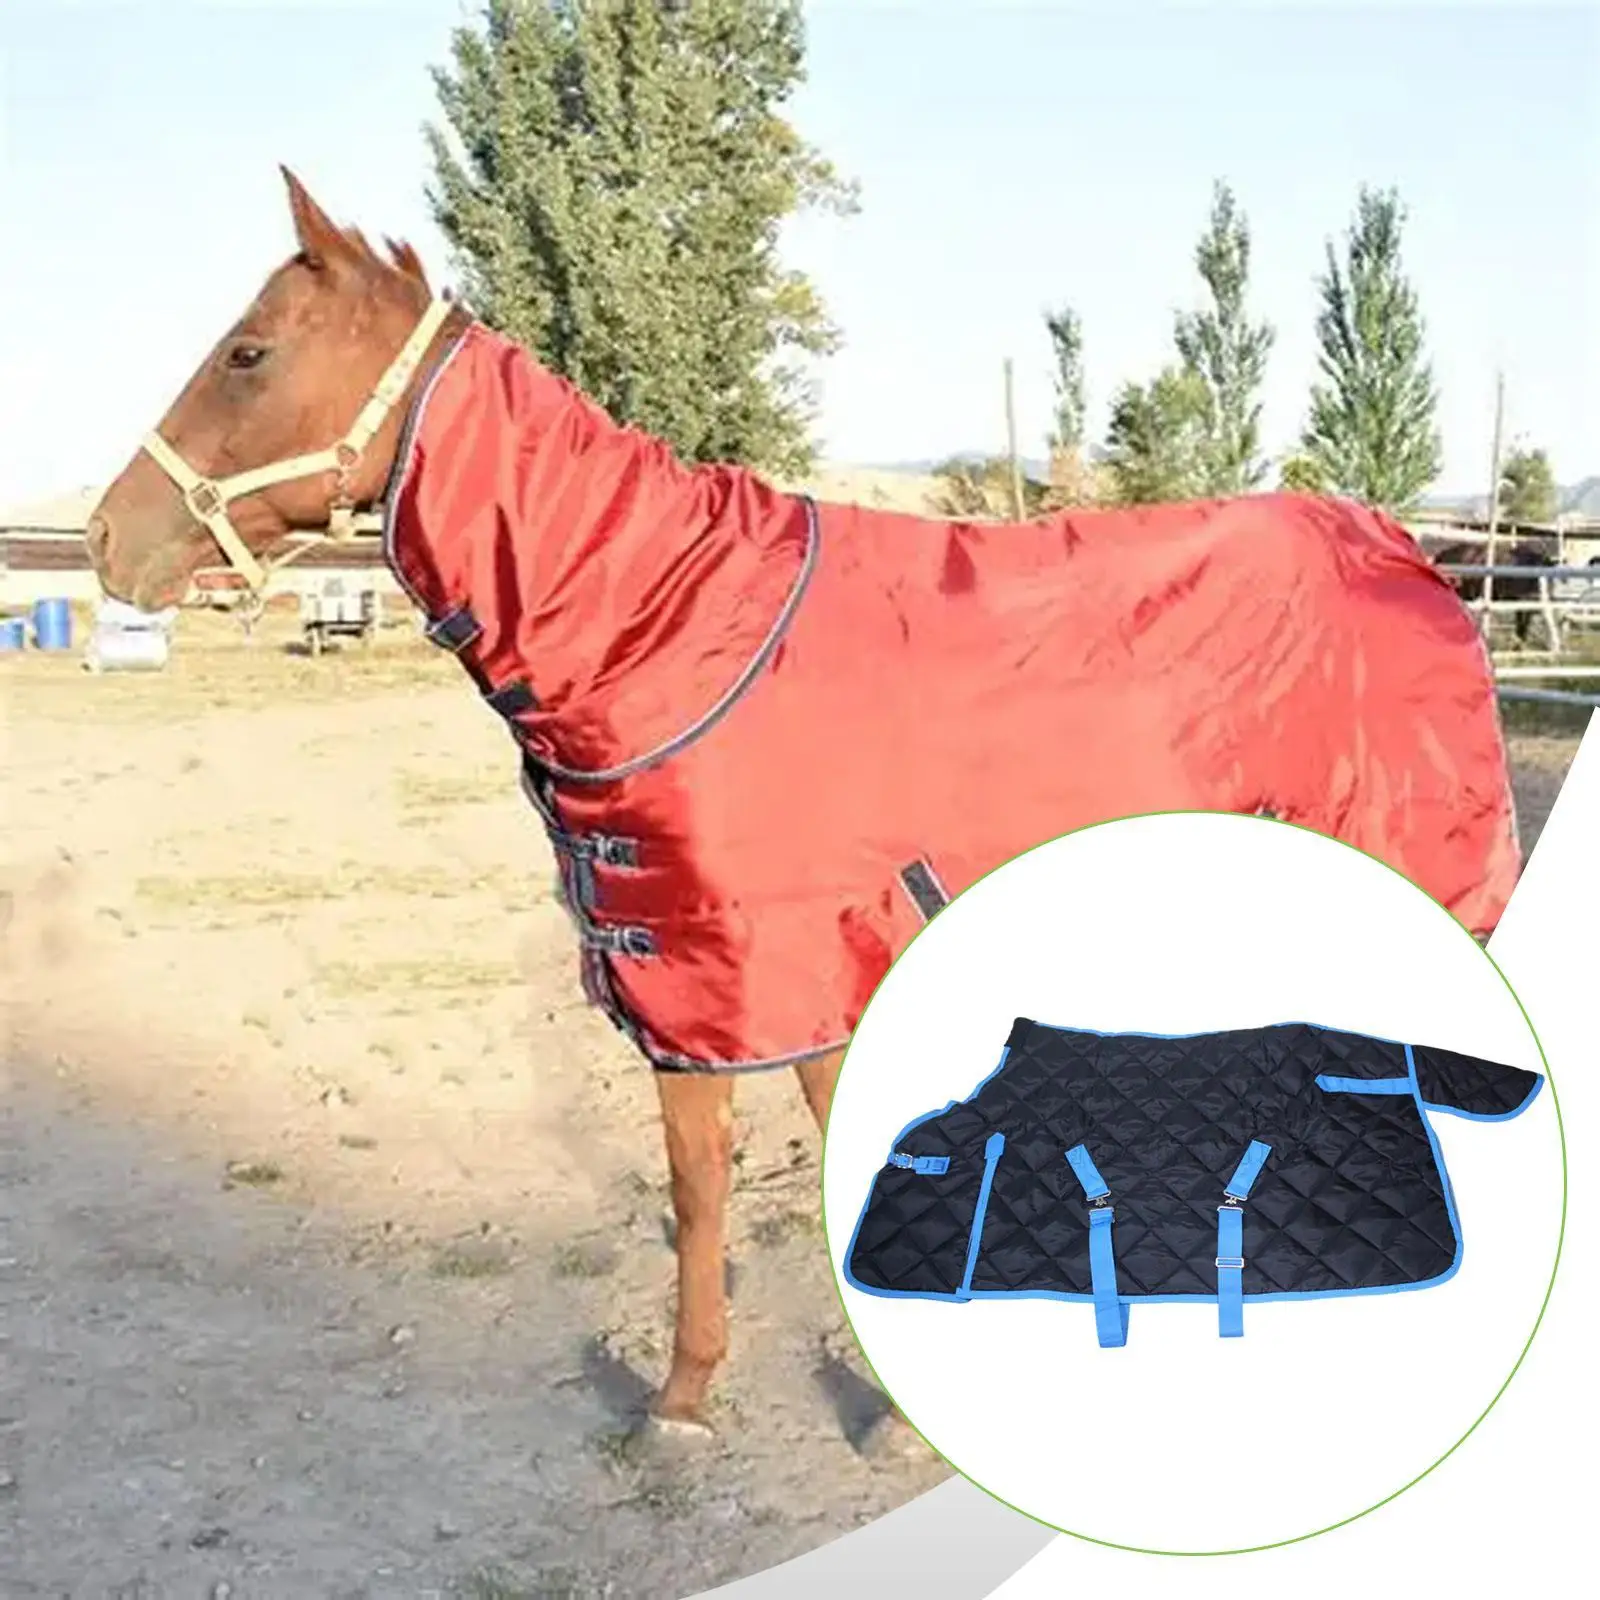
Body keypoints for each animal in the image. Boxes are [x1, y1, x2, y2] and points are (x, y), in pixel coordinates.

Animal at [86, 169, 1522, 1438]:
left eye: (248, 354)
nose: (105, 539)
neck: (665, 627)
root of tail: (1408, 550)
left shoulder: (801, 964)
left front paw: (884, 1418)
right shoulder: (692, 983)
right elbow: (697, 1191)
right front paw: (683, 1397)